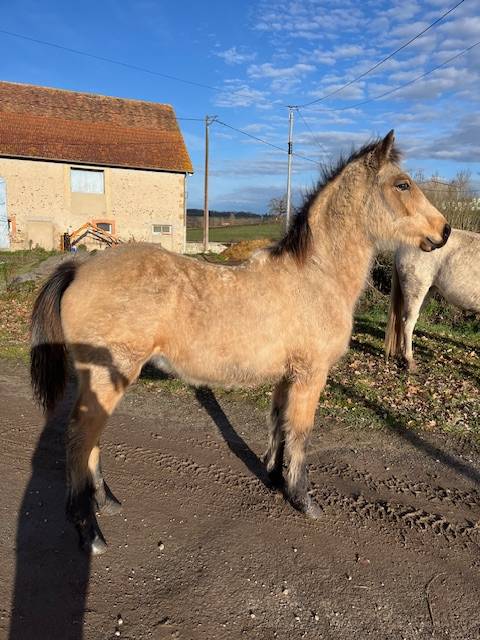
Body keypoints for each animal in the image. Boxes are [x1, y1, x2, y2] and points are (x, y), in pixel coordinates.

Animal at [30, 131, 451, 555]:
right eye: (402, 184)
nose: (445, 231)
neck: (316, 275)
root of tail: (80, 267)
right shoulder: (310, 376)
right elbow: (301, 433)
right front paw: (303, 499)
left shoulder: (287, 376)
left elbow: (279, 424)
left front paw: (276, 480)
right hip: (109, 376)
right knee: (79, 440)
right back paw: (90, 532)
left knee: (90, 441)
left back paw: (108, 501)